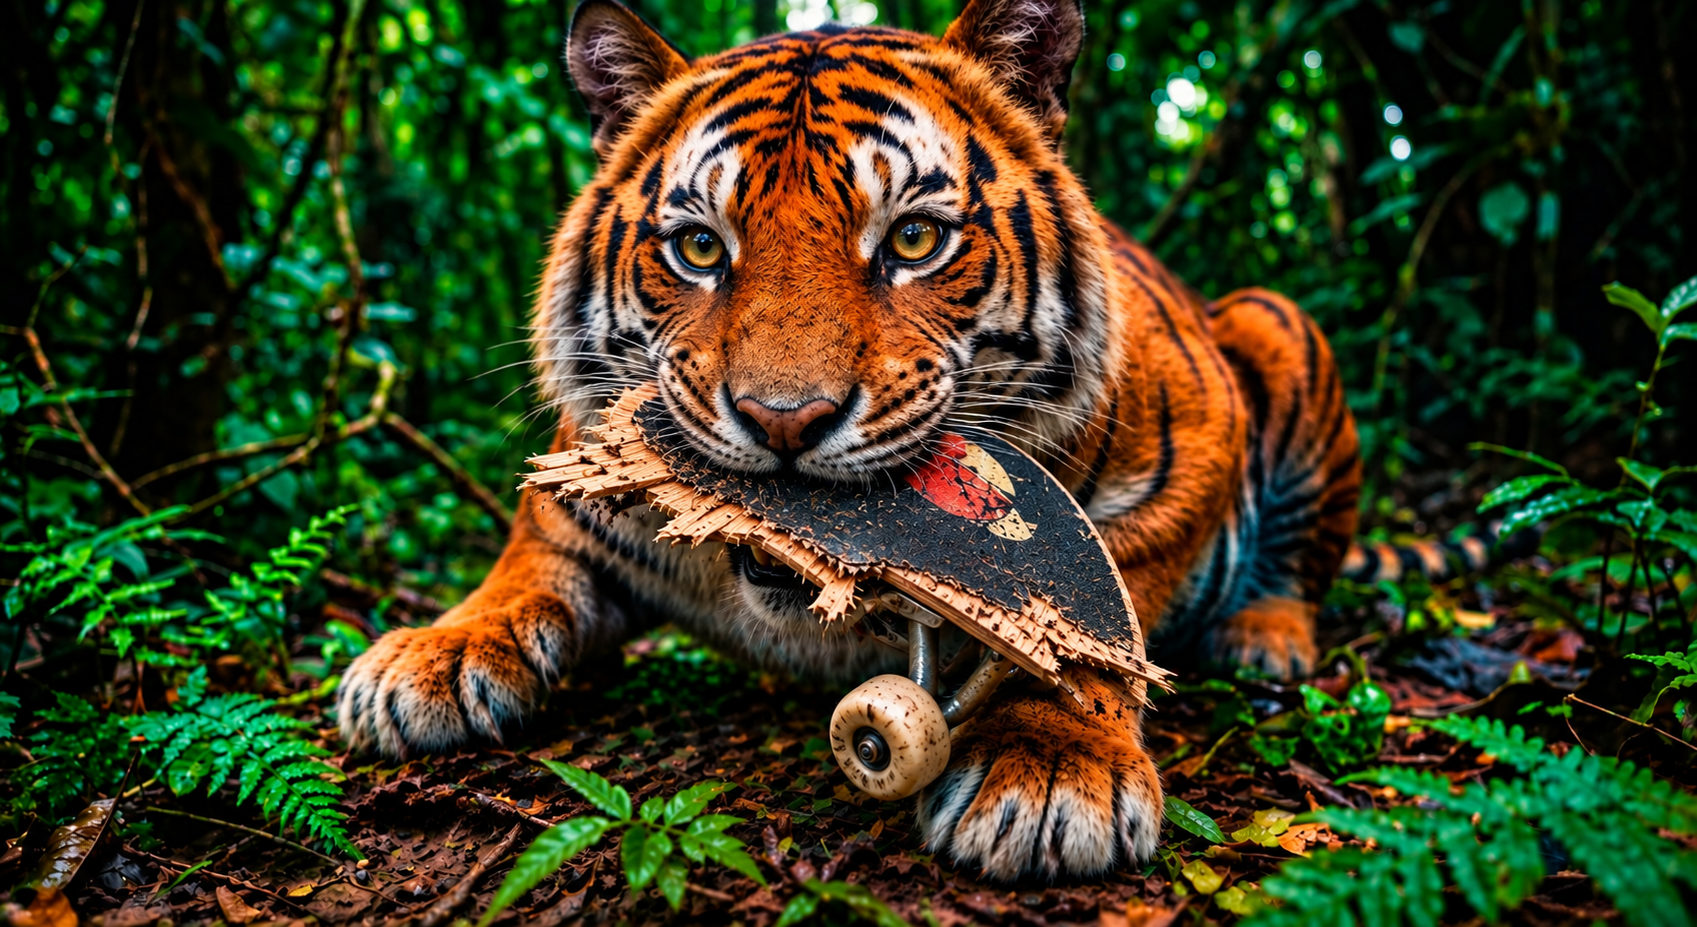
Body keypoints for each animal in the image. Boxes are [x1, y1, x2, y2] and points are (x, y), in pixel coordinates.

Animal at [337, 0, 1361, 882]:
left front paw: (1046, 770)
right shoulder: (575, 491)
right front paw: (430, 656)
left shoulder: (1185, 456)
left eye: (912, 239)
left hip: (1277, 323)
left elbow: (1087, 624)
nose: (783, 418)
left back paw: (1263, 638)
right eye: (699, 249)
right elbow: (524, 564)